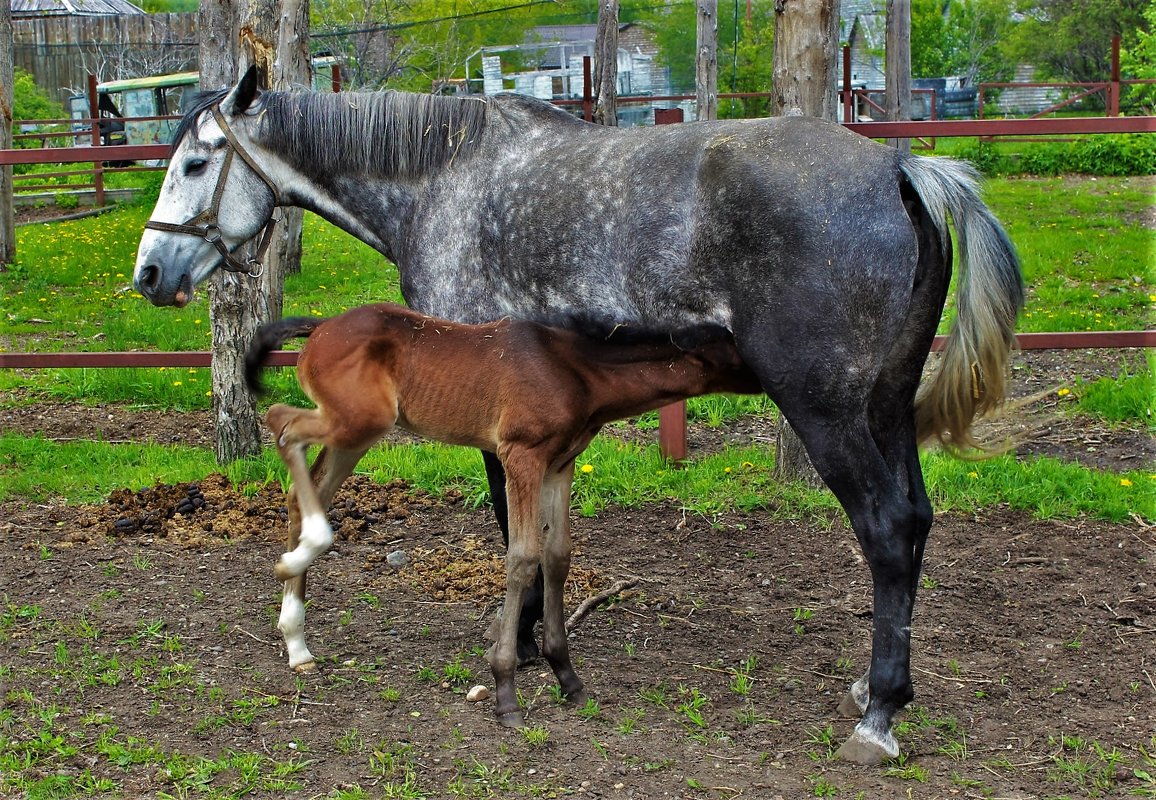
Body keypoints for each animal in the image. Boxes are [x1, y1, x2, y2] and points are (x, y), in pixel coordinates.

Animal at [248, 302, 762, 726]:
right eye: (739, 351)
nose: (774, 379)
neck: (573, 368)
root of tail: (321, 327)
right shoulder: (521, 457)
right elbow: (522, 558)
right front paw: (506, 691)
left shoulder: (560, 464)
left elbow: (558, 555)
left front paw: (567, 676)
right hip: (358, 420)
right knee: (281, 422)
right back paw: (302, 558)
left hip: (357, 431)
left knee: (303, 488)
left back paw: (296, 639)